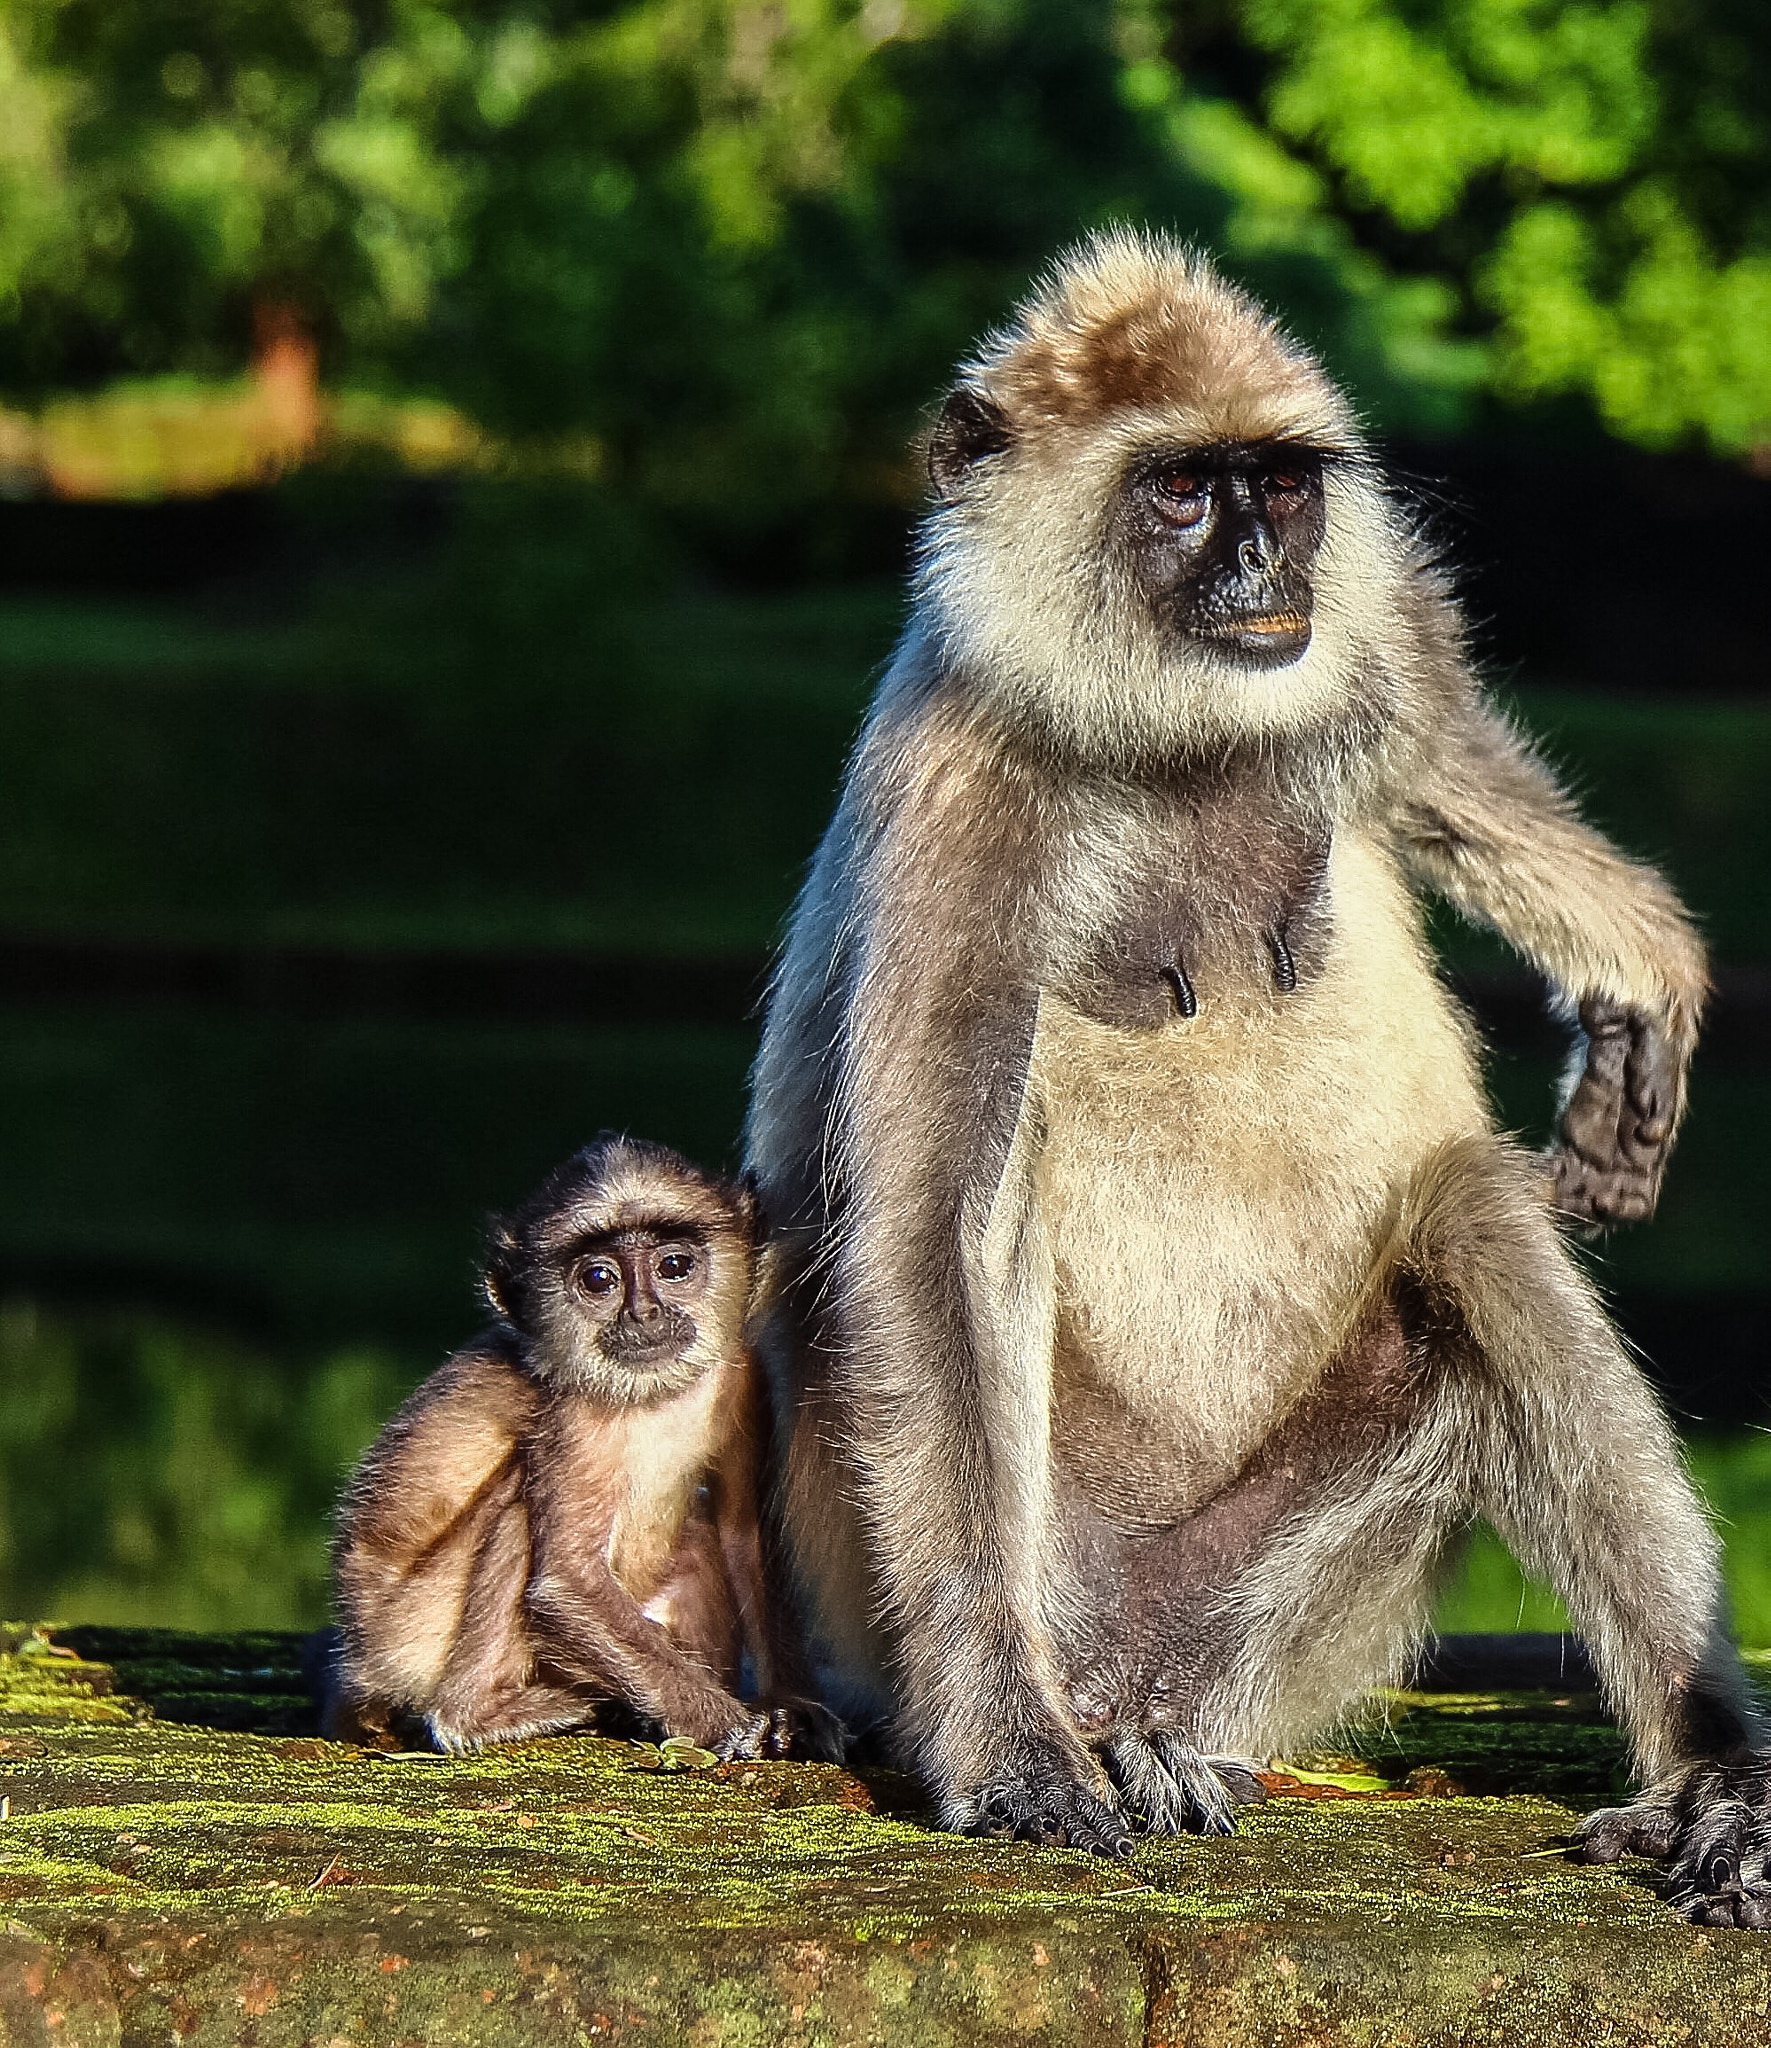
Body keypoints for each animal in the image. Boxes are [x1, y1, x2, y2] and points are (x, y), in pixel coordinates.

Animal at [323, 1138, 835, 1761]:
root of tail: (361, 1663)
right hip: (415, 1633)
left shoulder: (741, 1375)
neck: (654, 1396)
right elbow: (565, 1582)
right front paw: (731, 1724)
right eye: (598, 1279)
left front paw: (793, 1708)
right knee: (520, 1508)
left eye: (674, 1266)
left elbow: (745, 1535)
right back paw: (481, 1715)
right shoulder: (575, 1415)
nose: (643, 1315)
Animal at [745, 232, 1768, 1925]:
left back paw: (1711, 1777)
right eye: (1178, 494)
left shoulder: (1364, 620)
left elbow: (1432, 749)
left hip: (1267, 1617)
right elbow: (921, 1246)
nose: (1255, 572)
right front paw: (1002, 1745)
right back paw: (1083, 1732)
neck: (1171, 743)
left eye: (1273, 490)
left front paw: (1631, 960)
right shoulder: (962, 800)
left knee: (1467, 1212)